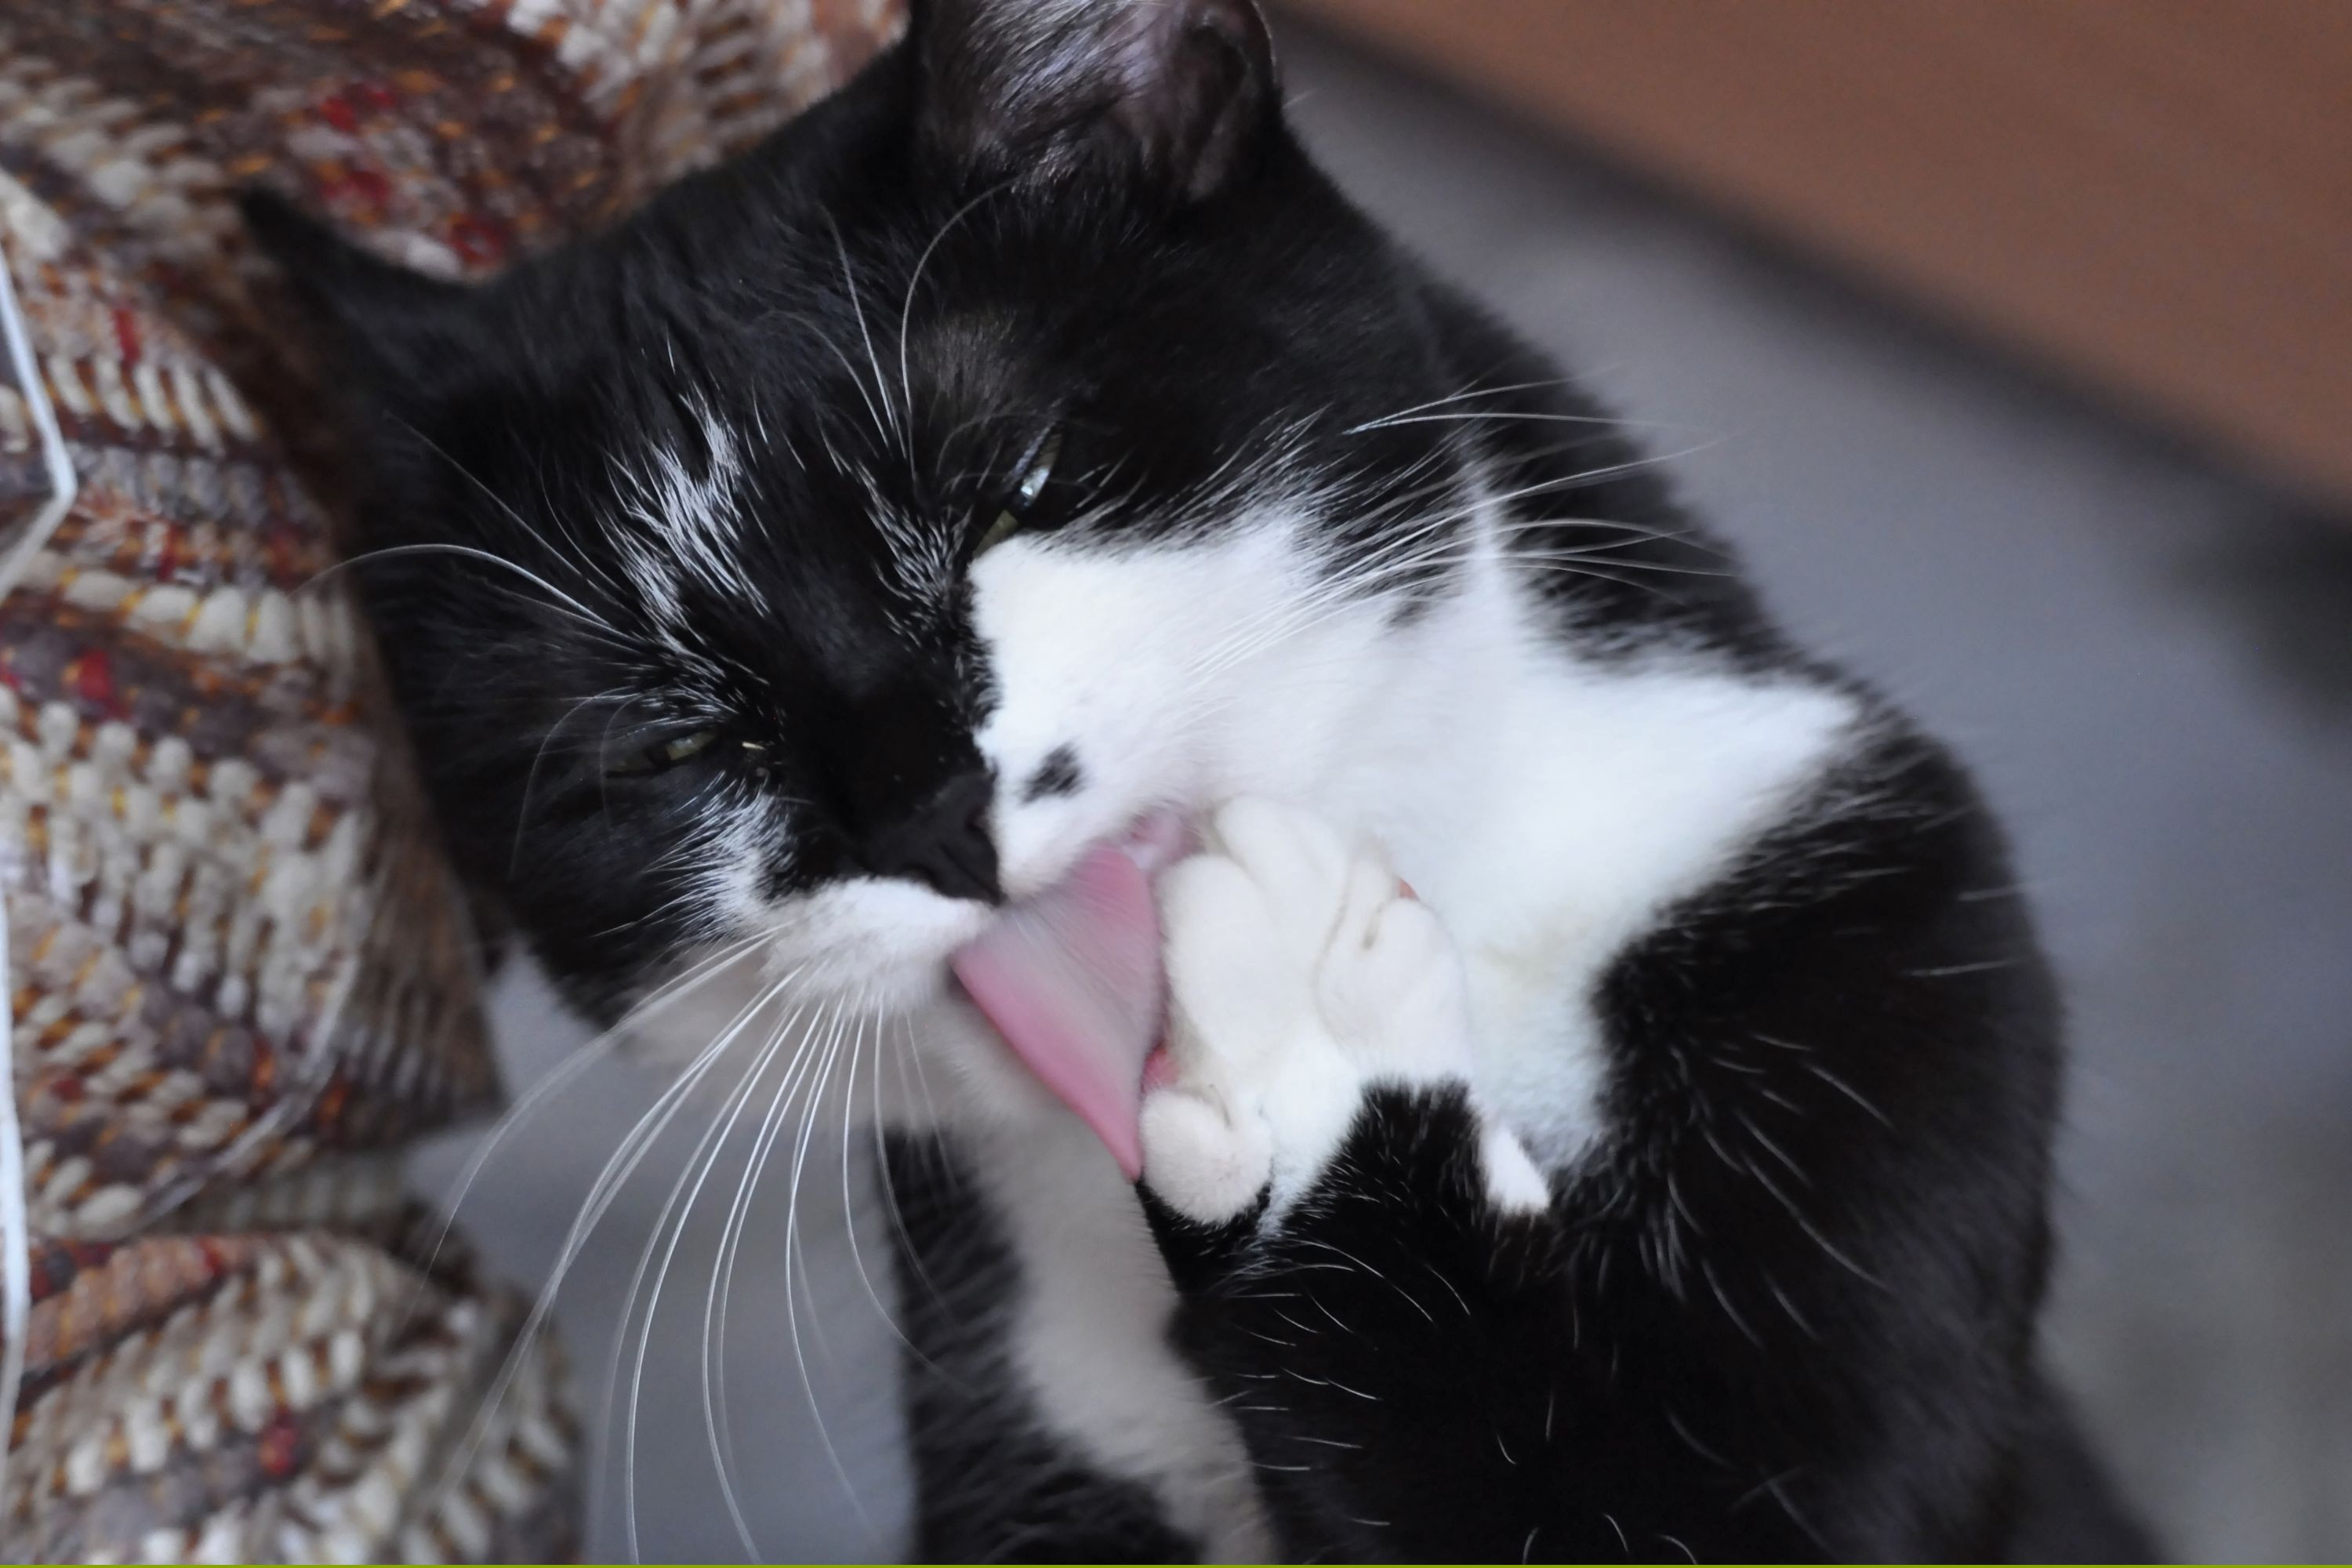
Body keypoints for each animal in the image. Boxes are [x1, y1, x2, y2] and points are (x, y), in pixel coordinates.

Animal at [252, 0, 2154, 1561]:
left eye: (1012, 490)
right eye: (660, 746)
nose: (930, 810)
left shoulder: (1874, 920)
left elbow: (1676, 1510)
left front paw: (1286, 1026)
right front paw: (1283, 1042)